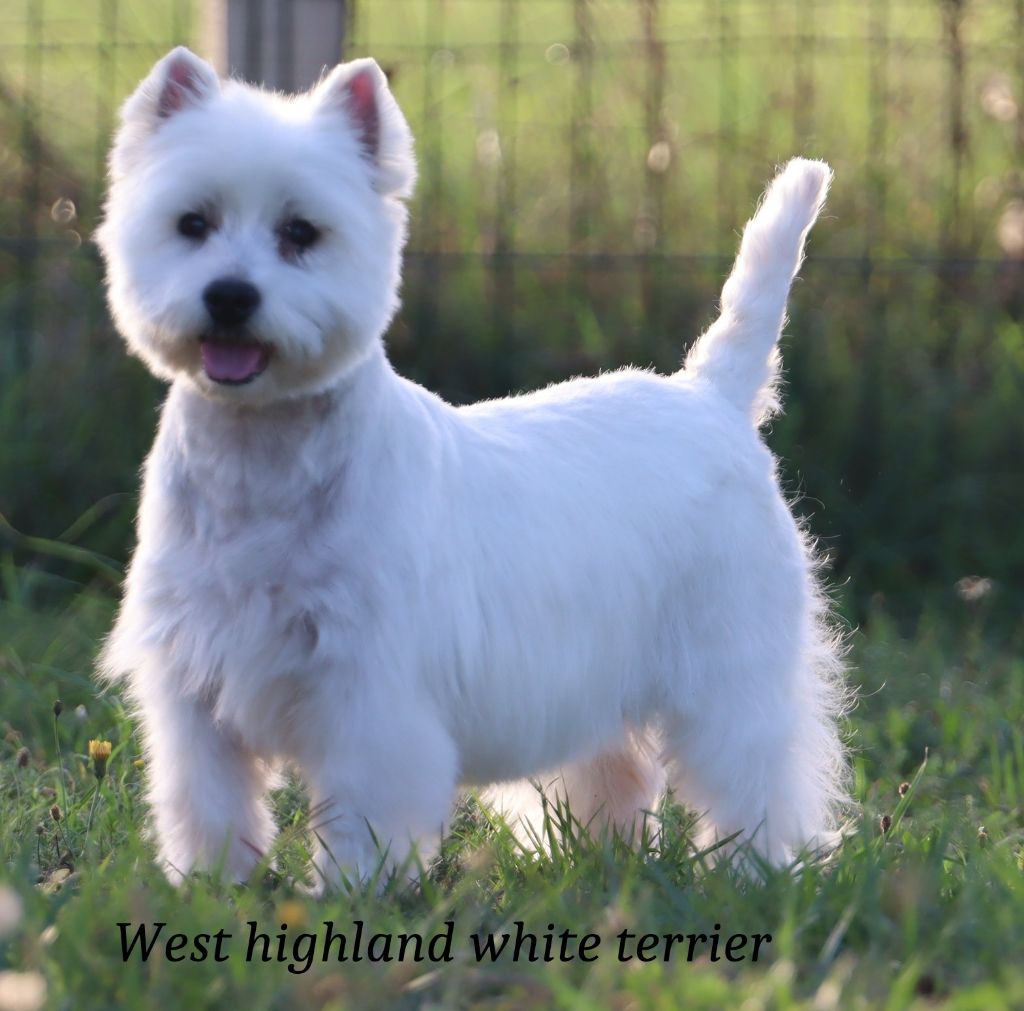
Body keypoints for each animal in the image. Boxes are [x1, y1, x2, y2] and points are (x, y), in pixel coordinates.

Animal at [97, 47, 847, 889]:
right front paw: (211, 886)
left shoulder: (370, 692)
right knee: (617, 773)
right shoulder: (193, 686)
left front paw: (351, 892)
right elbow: (210, 799)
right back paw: (606, 860)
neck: (259, 460)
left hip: (732, 664)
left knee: (755, 770)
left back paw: (757, 870)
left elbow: (362, 807)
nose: (230, 297)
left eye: (301, 232)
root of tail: (711, 394)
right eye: (192, 223)